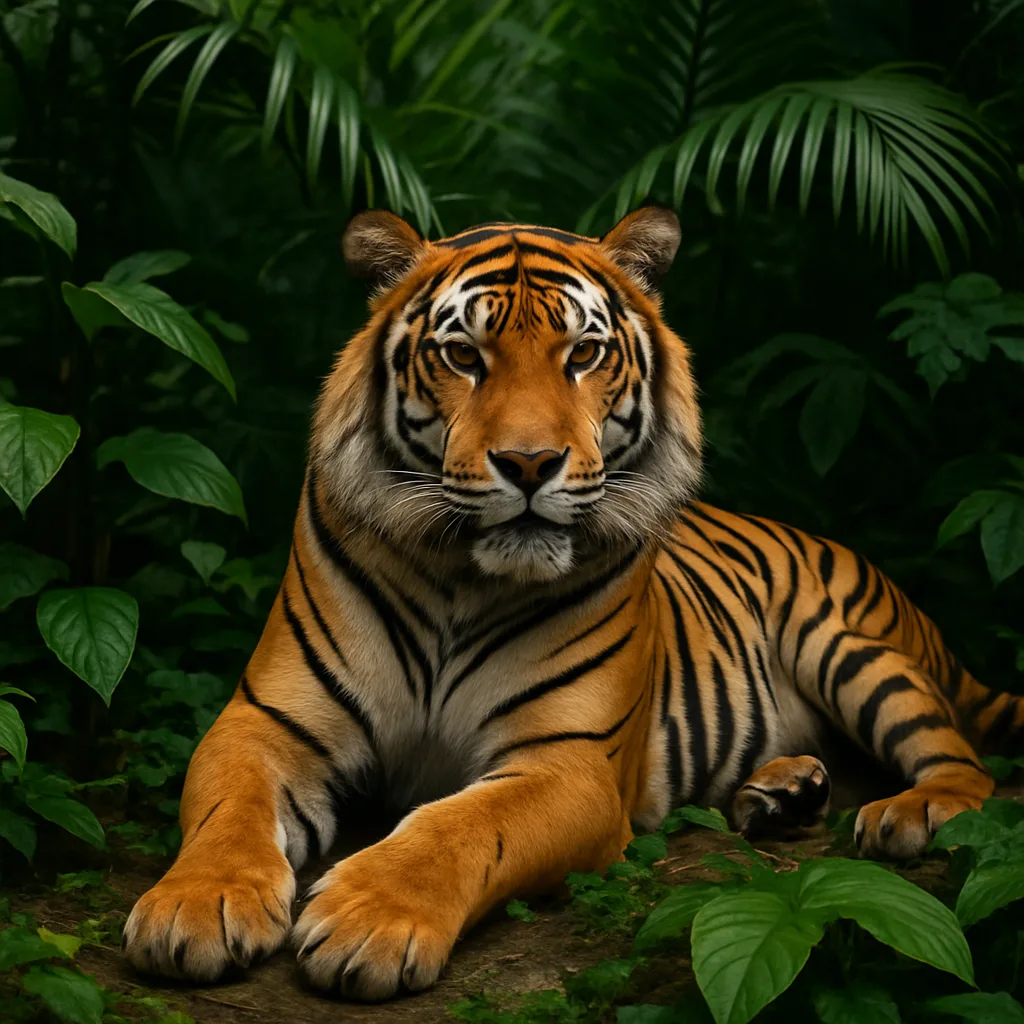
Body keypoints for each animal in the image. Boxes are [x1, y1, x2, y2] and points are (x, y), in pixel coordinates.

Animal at [123, 205, 1024, 1001]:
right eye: (463, 354)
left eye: (584, 353)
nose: (529, 464)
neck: (460, 580)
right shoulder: (268, 721)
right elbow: (229, 809)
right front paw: (195, 906)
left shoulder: (570, 762)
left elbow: (457, 828)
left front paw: (367, 922)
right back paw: (781, 792)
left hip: (847, 647)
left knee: (967, 766)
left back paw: (913, 811)